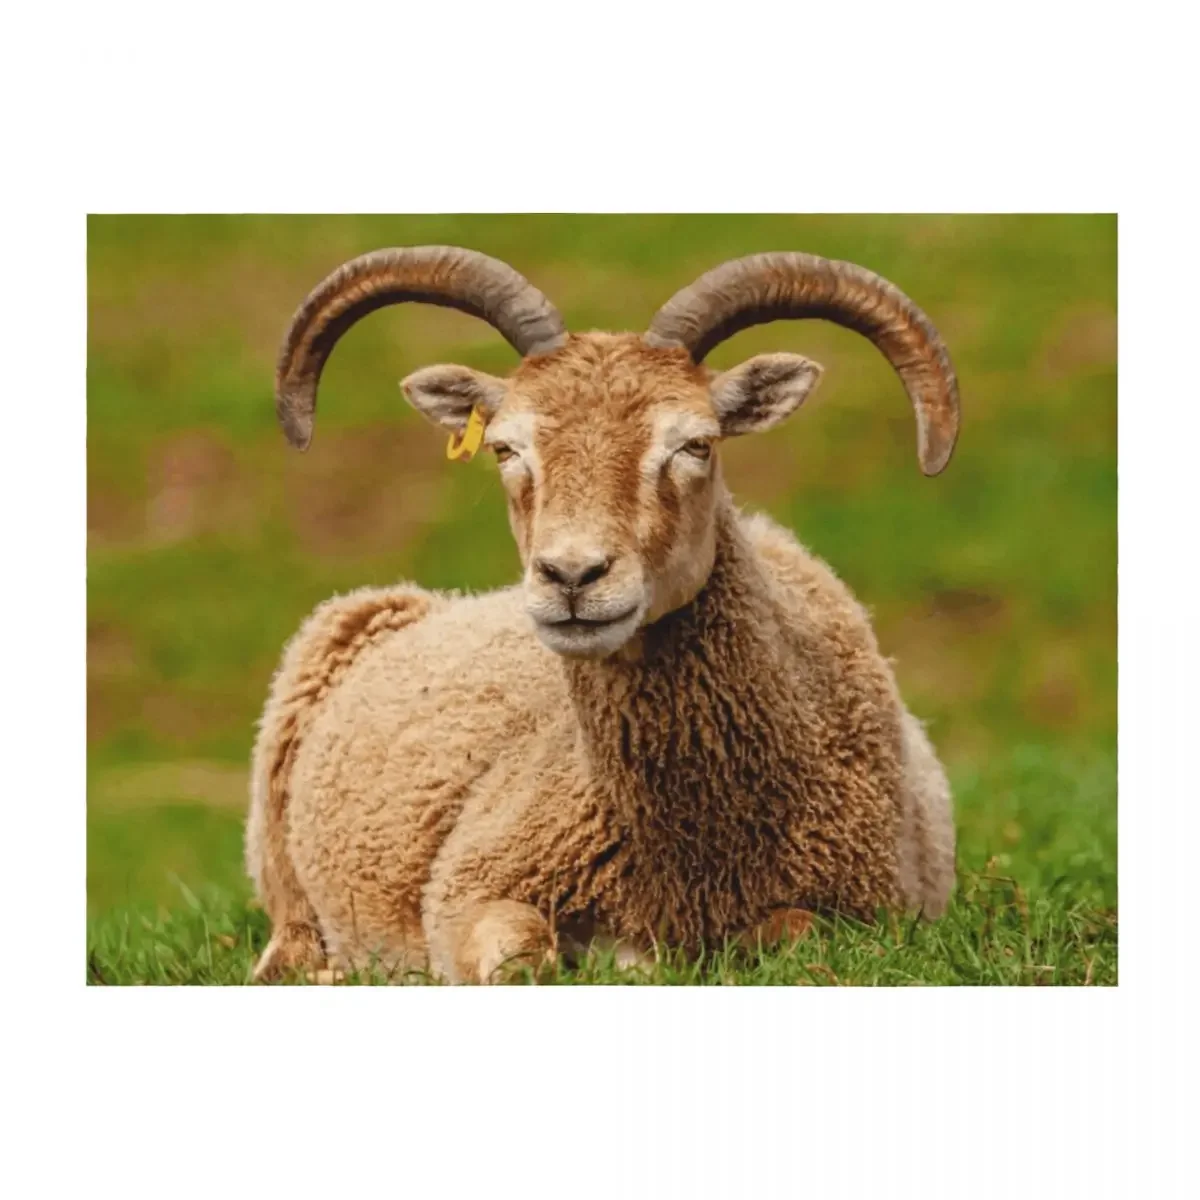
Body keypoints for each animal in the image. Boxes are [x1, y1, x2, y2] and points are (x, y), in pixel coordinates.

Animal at [245, 246, 960, 983]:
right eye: (505, 448)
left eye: (696, 444)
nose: (572, 575)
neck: (692, 853)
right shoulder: (469, 886)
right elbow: (517, 958)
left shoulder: (865, 909)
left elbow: (795, 936)